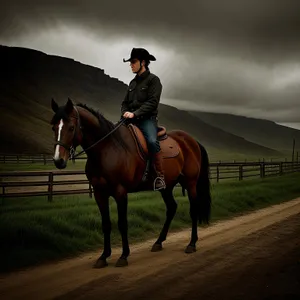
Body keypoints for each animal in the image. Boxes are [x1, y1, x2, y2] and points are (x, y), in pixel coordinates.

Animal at [50, 98, 211, 268]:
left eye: (71, 127)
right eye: (53, 127)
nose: (58, 160)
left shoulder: (120, 192)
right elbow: (106, 224)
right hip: (166, 187)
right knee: (172, 208)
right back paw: (158, 242)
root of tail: (192, 141)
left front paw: (123, 256)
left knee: (193, 210)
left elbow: (122, 223)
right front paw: (103, 256)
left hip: (190, 183)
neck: (108, 149)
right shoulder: (100, 193)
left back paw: (191, 244)